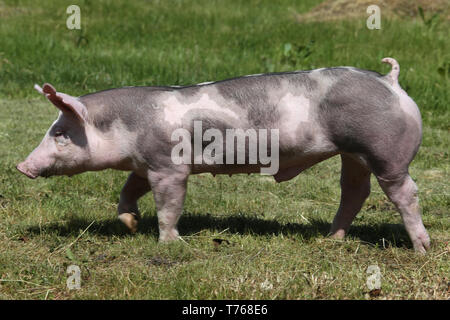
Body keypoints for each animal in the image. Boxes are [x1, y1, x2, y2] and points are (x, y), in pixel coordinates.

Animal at [17, 57, 430, 252]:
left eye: (60, 134)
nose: (21, 167)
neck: (129, 126)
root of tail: (391, 83)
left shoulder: (169, 167)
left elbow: (169, 205)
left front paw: (171, 243)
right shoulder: (145, 164)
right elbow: (128, 190)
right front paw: (131, 224)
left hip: (386, 152)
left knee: (405, 193)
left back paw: (422, 249)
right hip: (353, 155)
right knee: (354, 191)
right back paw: (331, 240)